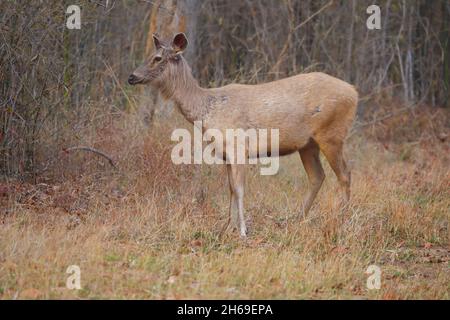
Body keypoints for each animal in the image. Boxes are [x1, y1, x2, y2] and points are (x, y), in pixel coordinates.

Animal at [127, 32, 358, 238]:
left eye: (157, 58)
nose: (131, 76)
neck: (207, 110)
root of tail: (354, 93)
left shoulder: (238, 148)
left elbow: (239, 189)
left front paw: (243, 231)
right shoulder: (226, 154)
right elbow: (230, 188)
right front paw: (226, 228)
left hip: (332, 134)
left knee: (345, 174)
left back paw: (342, 219)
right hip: (307, 144)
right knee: (318, 176)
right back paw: (297, 219)